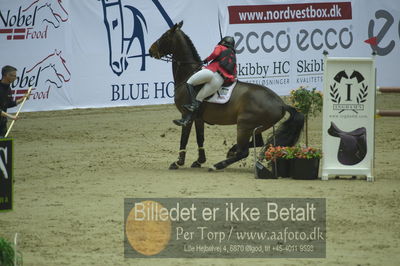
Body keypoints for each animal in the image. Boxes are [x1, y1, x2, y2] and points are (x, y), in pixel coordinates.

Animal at [148, 20, 304, 170]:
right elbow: (200, 138)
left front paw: (178, 162)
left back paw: (218, 165)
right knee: (257, 142)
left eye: (165, 36)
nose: (150, 50)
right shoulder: (198, 118)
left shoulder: (186, 116)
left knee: (244, 151)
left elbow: (184, 139)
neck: (188, 74)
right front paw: (199, 161)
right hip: (256, 127)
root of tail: (281, 103)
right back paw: (231, 150)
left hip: (244, 125)